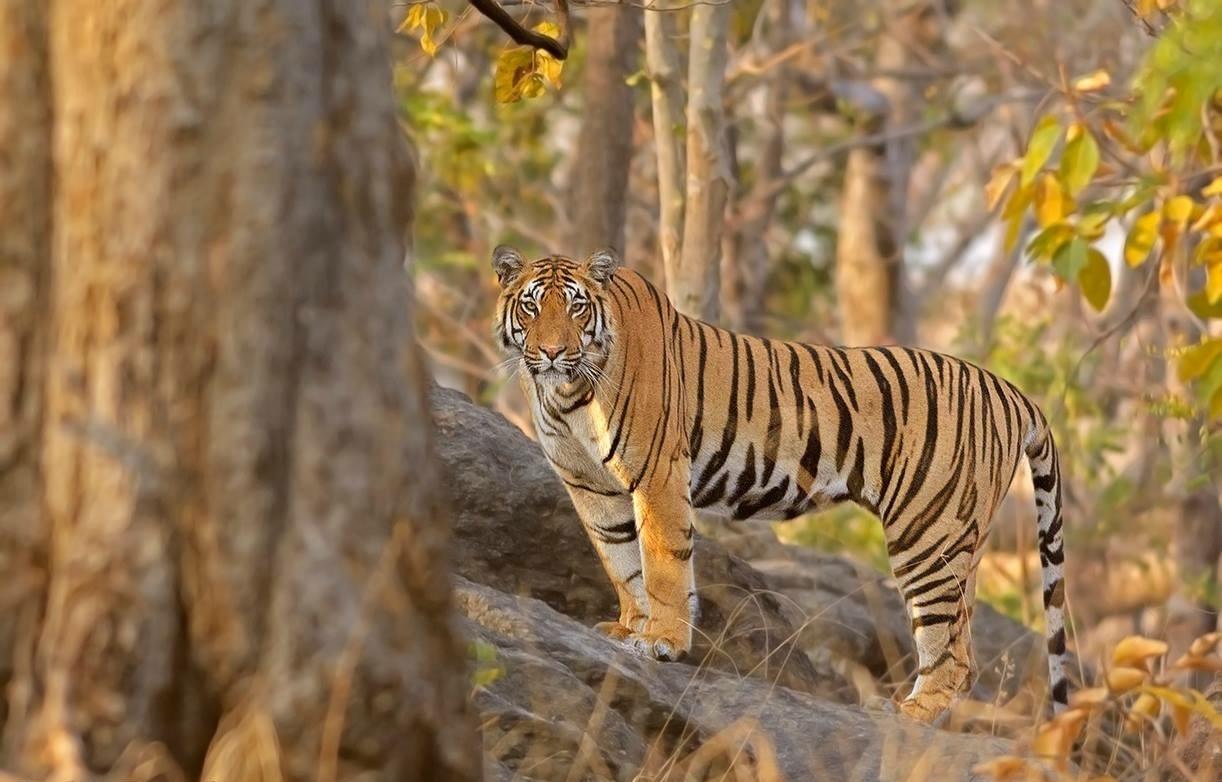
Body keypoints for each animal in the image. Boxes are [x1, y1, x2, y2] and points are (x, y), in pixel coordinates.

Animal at [491, 244, 1069, 722]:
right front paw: (631, 630)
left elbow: (662, 567)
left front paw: (662, 642)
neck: (566, 393)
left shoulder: (657, 474)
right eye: (531, 308)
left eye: (576, 308)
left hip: (927, 532)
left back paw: (907, 714)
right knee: (962, 641)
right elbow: (622, 563)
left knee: (952, 650)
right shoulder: (592, 487)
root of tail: (1007, 388)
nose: (551, 352)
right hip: (956, 538)